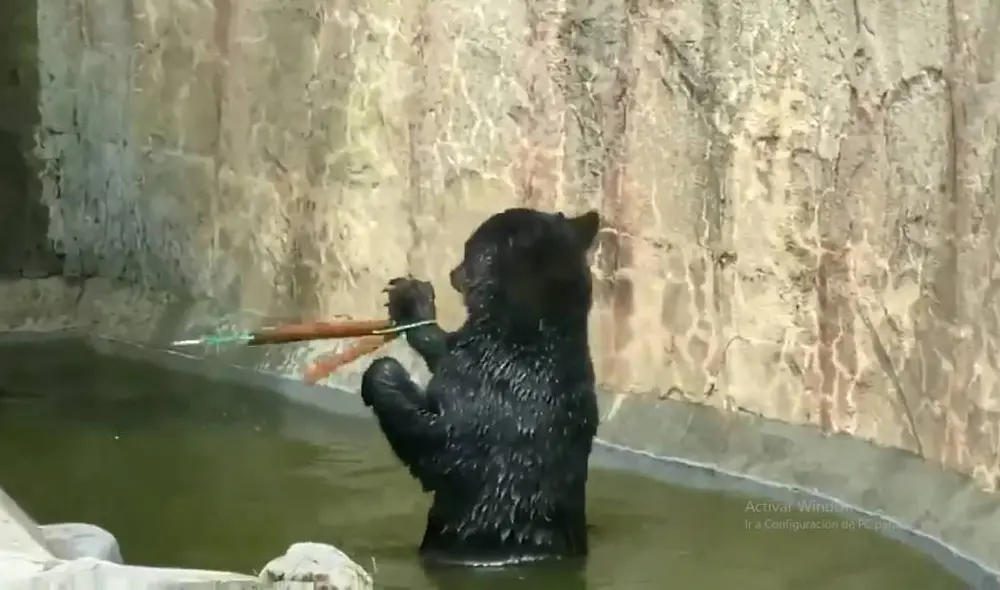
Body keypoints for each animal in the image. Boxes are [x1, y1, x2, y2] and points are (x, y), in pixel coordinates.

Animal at [360, 207, 602, 567]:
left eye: (468, 248)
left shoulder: (493, 393)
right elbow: (446, 350)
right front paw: (411, 300)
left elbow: (439, 446)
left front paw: (381, 373)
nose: (452, 272)